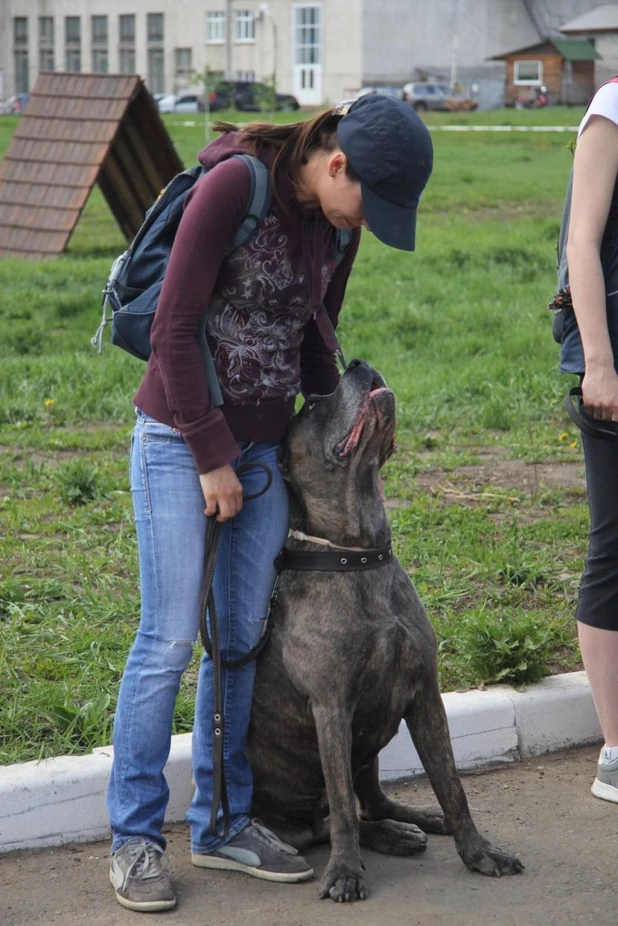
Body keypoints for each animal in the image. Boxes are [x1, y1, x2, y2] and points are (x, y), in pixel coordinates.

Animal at [244, 358, 520, 904]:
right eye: (313, 404)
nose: (357, 363)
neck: (357, 556)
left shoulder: (426, 694)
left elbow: (451, 784)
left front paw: (478, 851)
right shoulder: (331, 707)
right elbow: (343, 809)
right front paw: (345, 872)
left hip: (370, 742)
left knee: (371, 800)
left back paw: (411, 822)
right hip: (307, 795)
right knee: (331, 820)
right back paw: (380, 837)